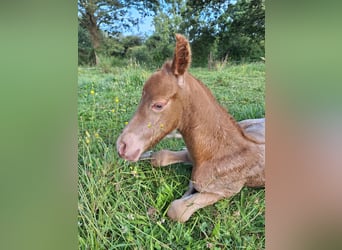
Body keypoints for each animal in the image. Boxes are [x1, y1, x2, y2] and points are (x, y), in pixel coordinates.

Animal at [115, 33, 264, 223]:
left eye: (158, 105)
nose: (122, 146)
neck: (217, 151)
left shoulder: (226, 190)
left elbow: (177, 209)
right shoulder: (191, 154)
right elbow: (161, 157)